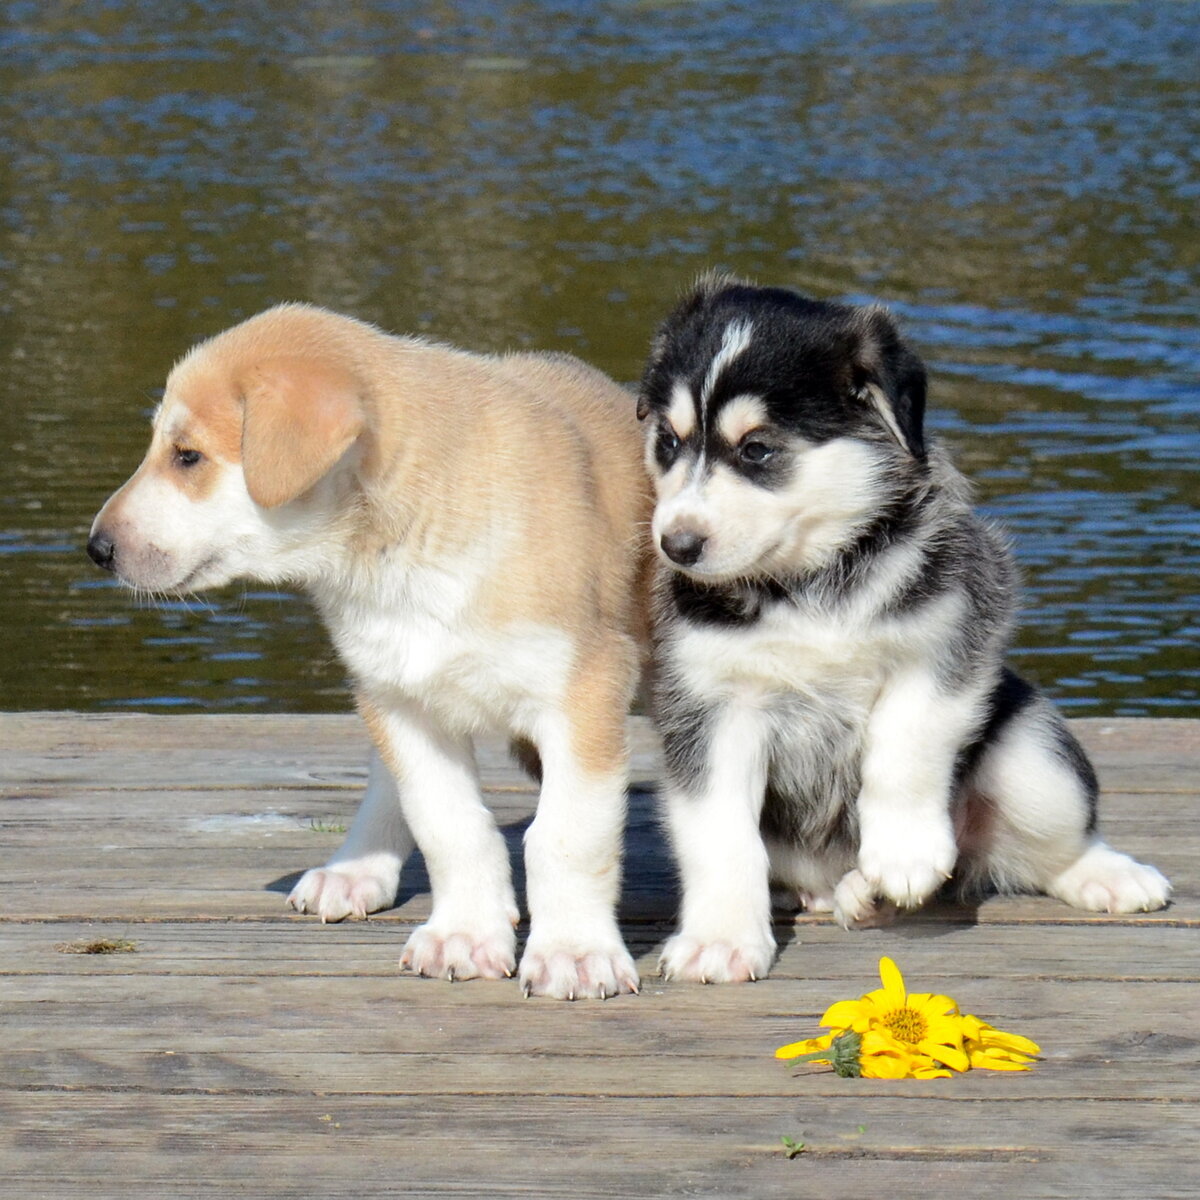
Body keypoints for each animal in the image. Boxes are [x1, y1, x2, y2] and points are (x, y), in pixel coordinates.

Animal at [87, 304, 652, 998]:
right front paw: (464, 934)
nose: (97, 548)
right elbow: (450, 826)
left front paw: (574, 951)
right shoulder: (403, 704)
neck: (403, 550)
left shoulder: (584, 695)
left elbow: (568, 836)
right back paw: (354, 870)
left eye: (187, 456)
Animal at [638, 274, 1171, 984]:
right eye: (669, 442)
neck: (808, 582)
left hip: (1035, 755)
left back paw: (1105, 876)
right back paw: (858, 898)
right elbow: (720, 832)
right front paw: (719, 939)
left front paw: (903, 852)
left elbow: (906, 743)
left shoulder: (952, 636)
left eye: (756, 449)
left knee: (1051, 850)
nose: (676, 545)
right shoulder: (708, 707)